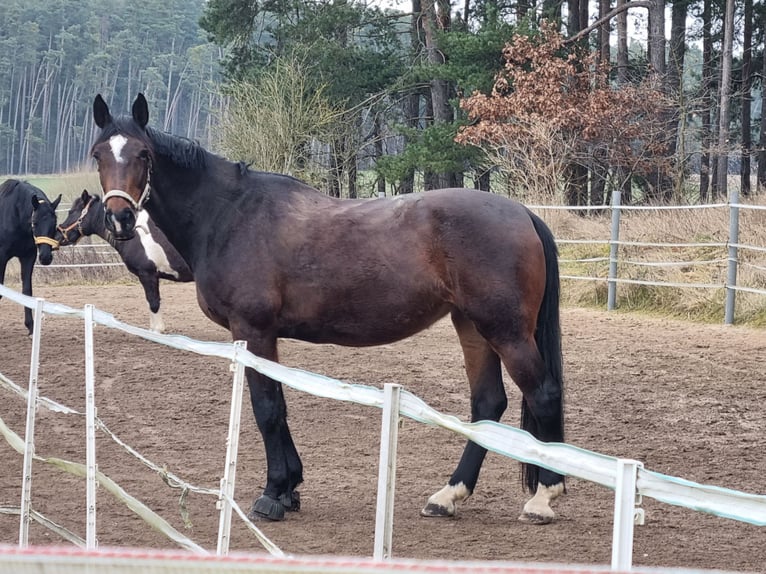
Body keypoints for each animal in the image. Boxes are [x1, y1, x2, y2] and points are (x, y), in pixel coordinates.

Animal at [0, 178, 61, 336]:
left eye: (54, 223)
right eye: (35, 222)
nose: (45, 257)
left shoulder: (28, 257)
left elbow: (27, 292)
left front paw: (31, 326)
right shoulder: (2, 258)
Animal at [91, 93, 568, 528]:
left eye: (143, 154)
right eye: (98, 154)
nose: (119, 219)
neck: (228, 215)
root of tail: (522, 212)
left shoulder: (253, 330)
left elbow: (266, 408)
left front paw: (272, 495)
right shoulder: (263, 336)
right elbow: (278, 404)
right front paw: (289, 489)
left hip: (506, 331)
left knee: (542, 393)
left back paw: (544, 498)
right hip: (472, 326)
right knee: (487, 404)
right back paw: (448, 495)